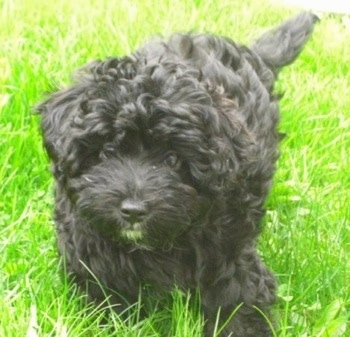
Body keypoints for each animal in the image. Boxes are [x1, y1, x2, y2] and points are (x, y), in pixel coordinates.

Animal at [37, 11, 318, 334]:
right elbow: (106, 295)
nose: (133, 211)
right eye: (107, 152)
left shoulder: (230, 250)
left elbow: (238, 300)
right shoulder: (90, 243)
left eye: (172, 159)